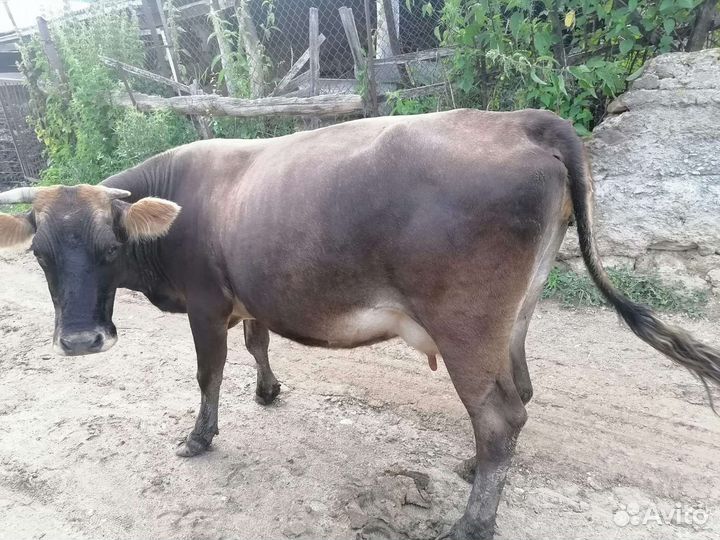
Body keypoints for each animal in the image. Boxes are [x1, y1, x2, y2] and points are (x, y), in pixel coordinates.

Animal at [0, 109, 718, 540]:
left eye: (109, 247)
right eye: (40, 255)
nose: (80, 340)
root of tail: (521, 121)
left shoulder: (205, 305)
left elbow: (208, 374)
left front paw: (199, 437)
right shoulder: (252, 295)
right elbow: (259, 341)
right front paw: (268, 391)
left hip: (466, 327)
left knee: (499, 417)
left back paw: (471, 522)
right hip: (513, 320)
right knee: (518, 396)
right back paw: (471, 469)